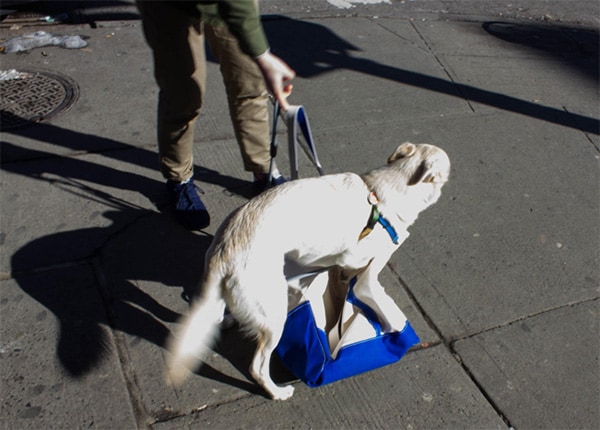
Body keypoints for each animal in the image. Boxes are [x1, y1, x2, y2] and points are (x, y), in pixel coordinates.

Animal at [166, 143, 448, 402]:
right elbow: (367, 268)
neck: (386, 189)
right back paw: (277, 392)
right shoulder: (357, 256)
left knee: (216, 317)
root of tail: (224, 252)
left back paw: (228, 320)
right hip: (274, 317)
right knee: (257, 367)